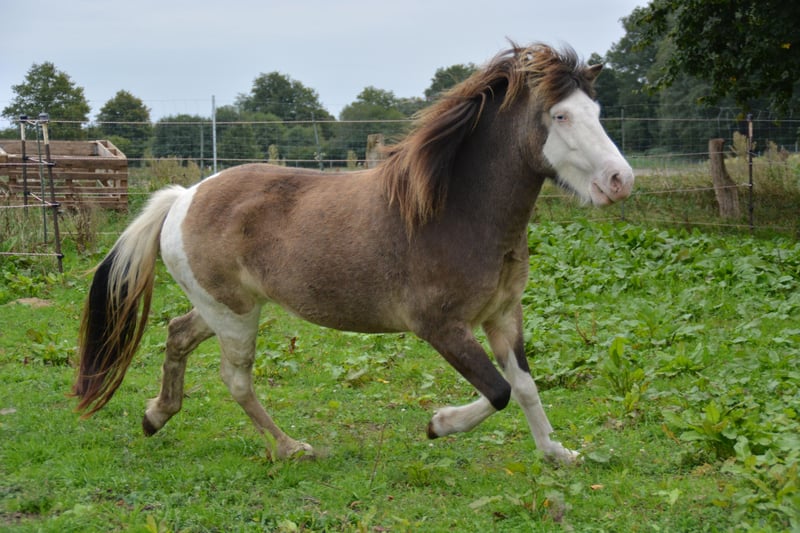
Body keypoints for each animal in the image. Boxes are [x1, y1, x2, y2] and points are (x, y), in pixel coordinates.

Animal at [72, 43, 633, 464]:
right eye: (560, 115)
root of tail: (183, 197)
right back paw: (290, 448)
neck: (457, 211)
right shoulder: (440, 326)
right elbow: (498, 392)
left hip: (226, 308)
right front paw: (438, 424)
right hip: (235, 316)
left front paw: (557, 454)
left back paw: (155, 416)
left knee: (177, 334)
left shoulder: (503, 316)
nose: (619, 180)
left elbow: (525, 386)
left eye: (598, 112)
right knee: (235, 379)